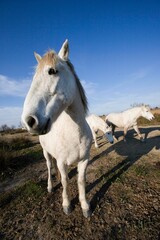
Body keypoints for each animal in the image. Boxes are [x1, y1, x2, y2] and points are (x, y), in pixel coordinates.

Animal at [21, 39, 93, 218]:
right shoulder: (61, 162)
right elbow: (66, 181)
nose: (29, 121)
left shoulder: (84, 160)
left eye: (52, 71)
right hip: (46, 153)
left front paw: (85, 206)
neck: (74, 134)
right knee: (48, 166)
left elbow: (81, 181)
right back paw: (50, 186)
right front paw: (67, 204)